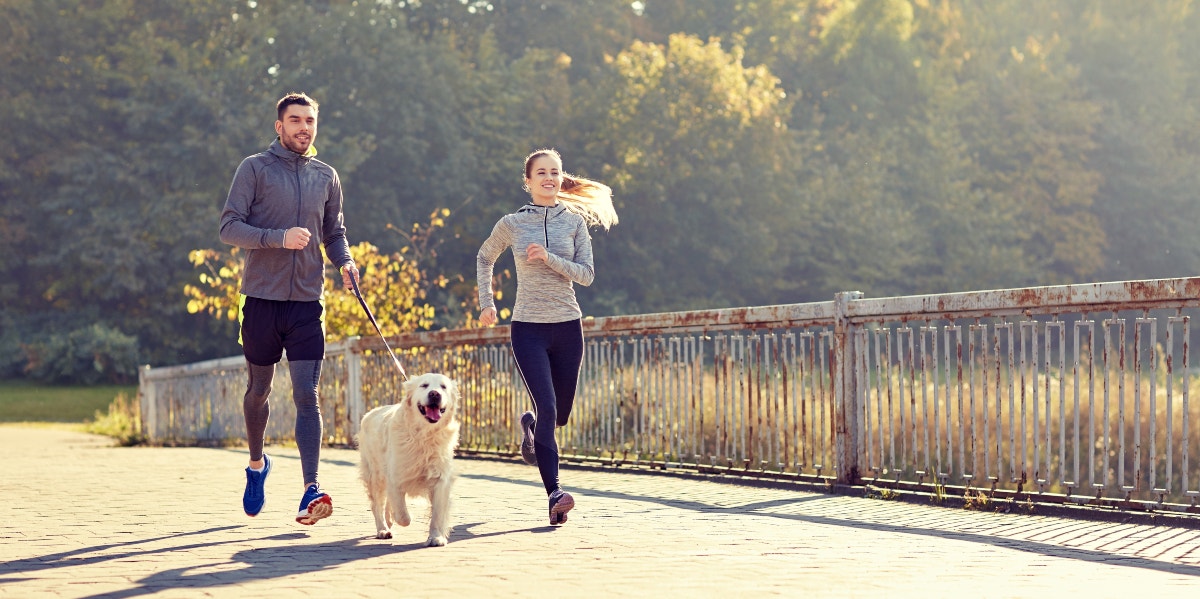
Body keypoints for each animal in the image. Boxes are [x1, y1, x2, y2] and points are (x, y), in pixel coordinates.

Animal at [355, 372, 458, 547]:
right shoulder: (395, 476)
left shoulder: (440, 479)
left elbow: (437, 513)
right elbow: (403, 516)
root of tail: (370, 413)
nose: (434, 394)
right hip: (375, 476)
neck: (424, 436)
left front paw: (436, 537)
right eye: (424, 385)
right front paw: (403, 519)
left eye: (443, 387)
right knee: (377, 505)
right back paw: (383, 529)